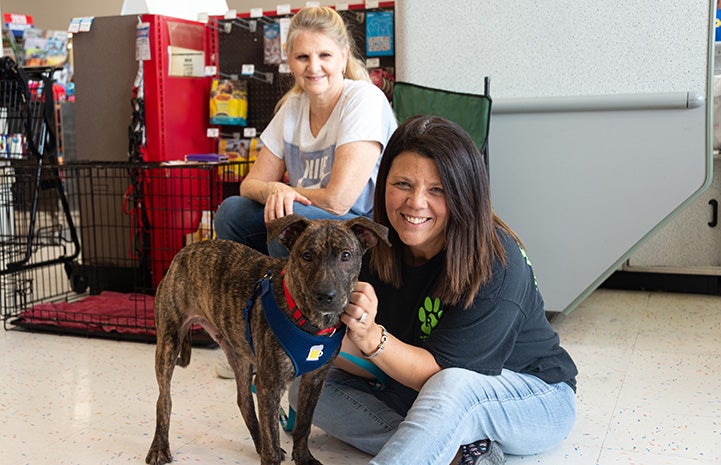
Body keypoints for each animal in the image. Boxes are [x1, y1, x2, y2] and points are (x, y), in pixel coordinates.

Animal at [145, 214, 388, 464]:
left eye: (346, 256)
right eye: (307, 256)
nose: (326, 296)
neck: (311, 323)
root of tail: (185, 251)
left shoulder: (314, 380)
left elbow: (303, 425)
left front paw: (303, 457)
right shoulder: (270, 383)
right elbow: (272, 433)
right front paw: (271, 454)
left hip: (239, 352)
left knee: (244, 401)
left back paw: (258, 444)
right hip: (168, 342)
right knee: (164, 398)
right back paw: (159, 447)